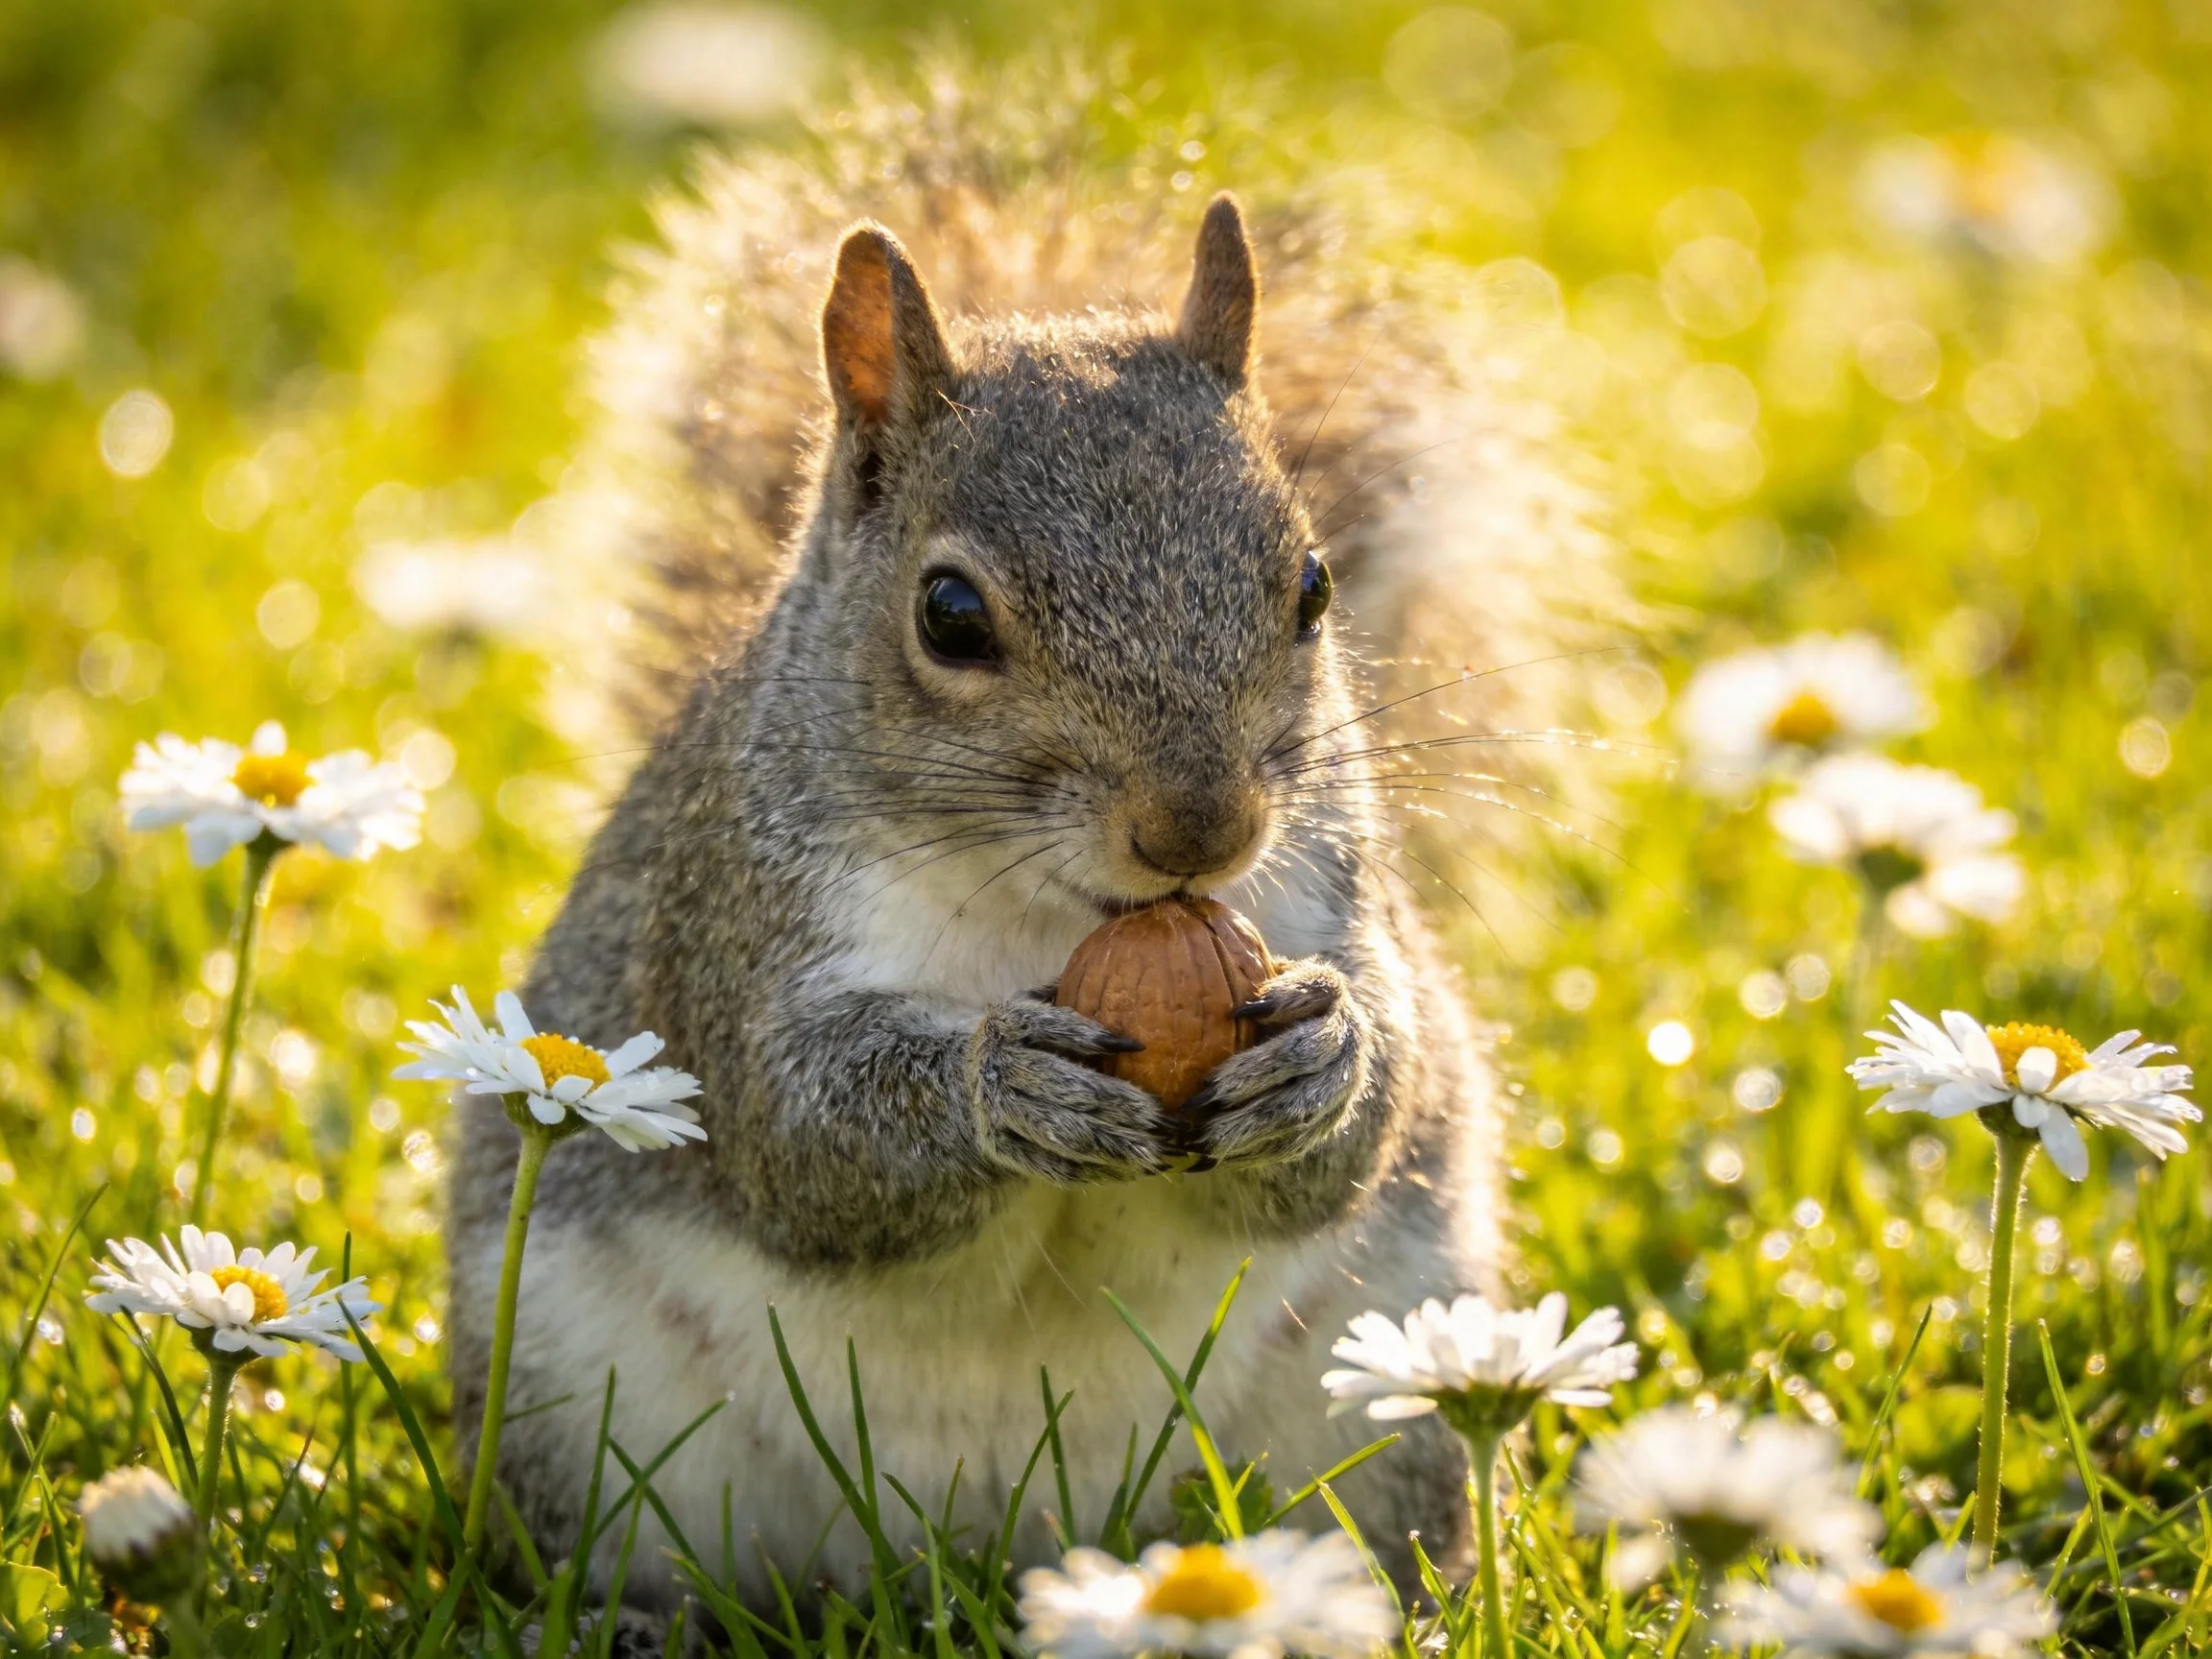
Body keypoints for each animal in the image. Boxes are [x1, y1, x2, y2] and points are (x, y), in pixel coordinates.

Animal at [447, 53, 1612, 1618]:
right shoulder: (734, 930)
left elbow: (1367, 1109)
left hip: (1376, 1400)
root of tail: (993, 1540)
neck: (1062, 913)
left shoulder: (1330, 889)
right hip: (587, 1409)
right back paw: (641, 1626)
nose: (1201, 827)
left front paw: (1327, 1056)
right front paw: (1003, 1085)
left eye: (1312, 585)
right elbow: (797, 1134)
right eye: (949, 615)